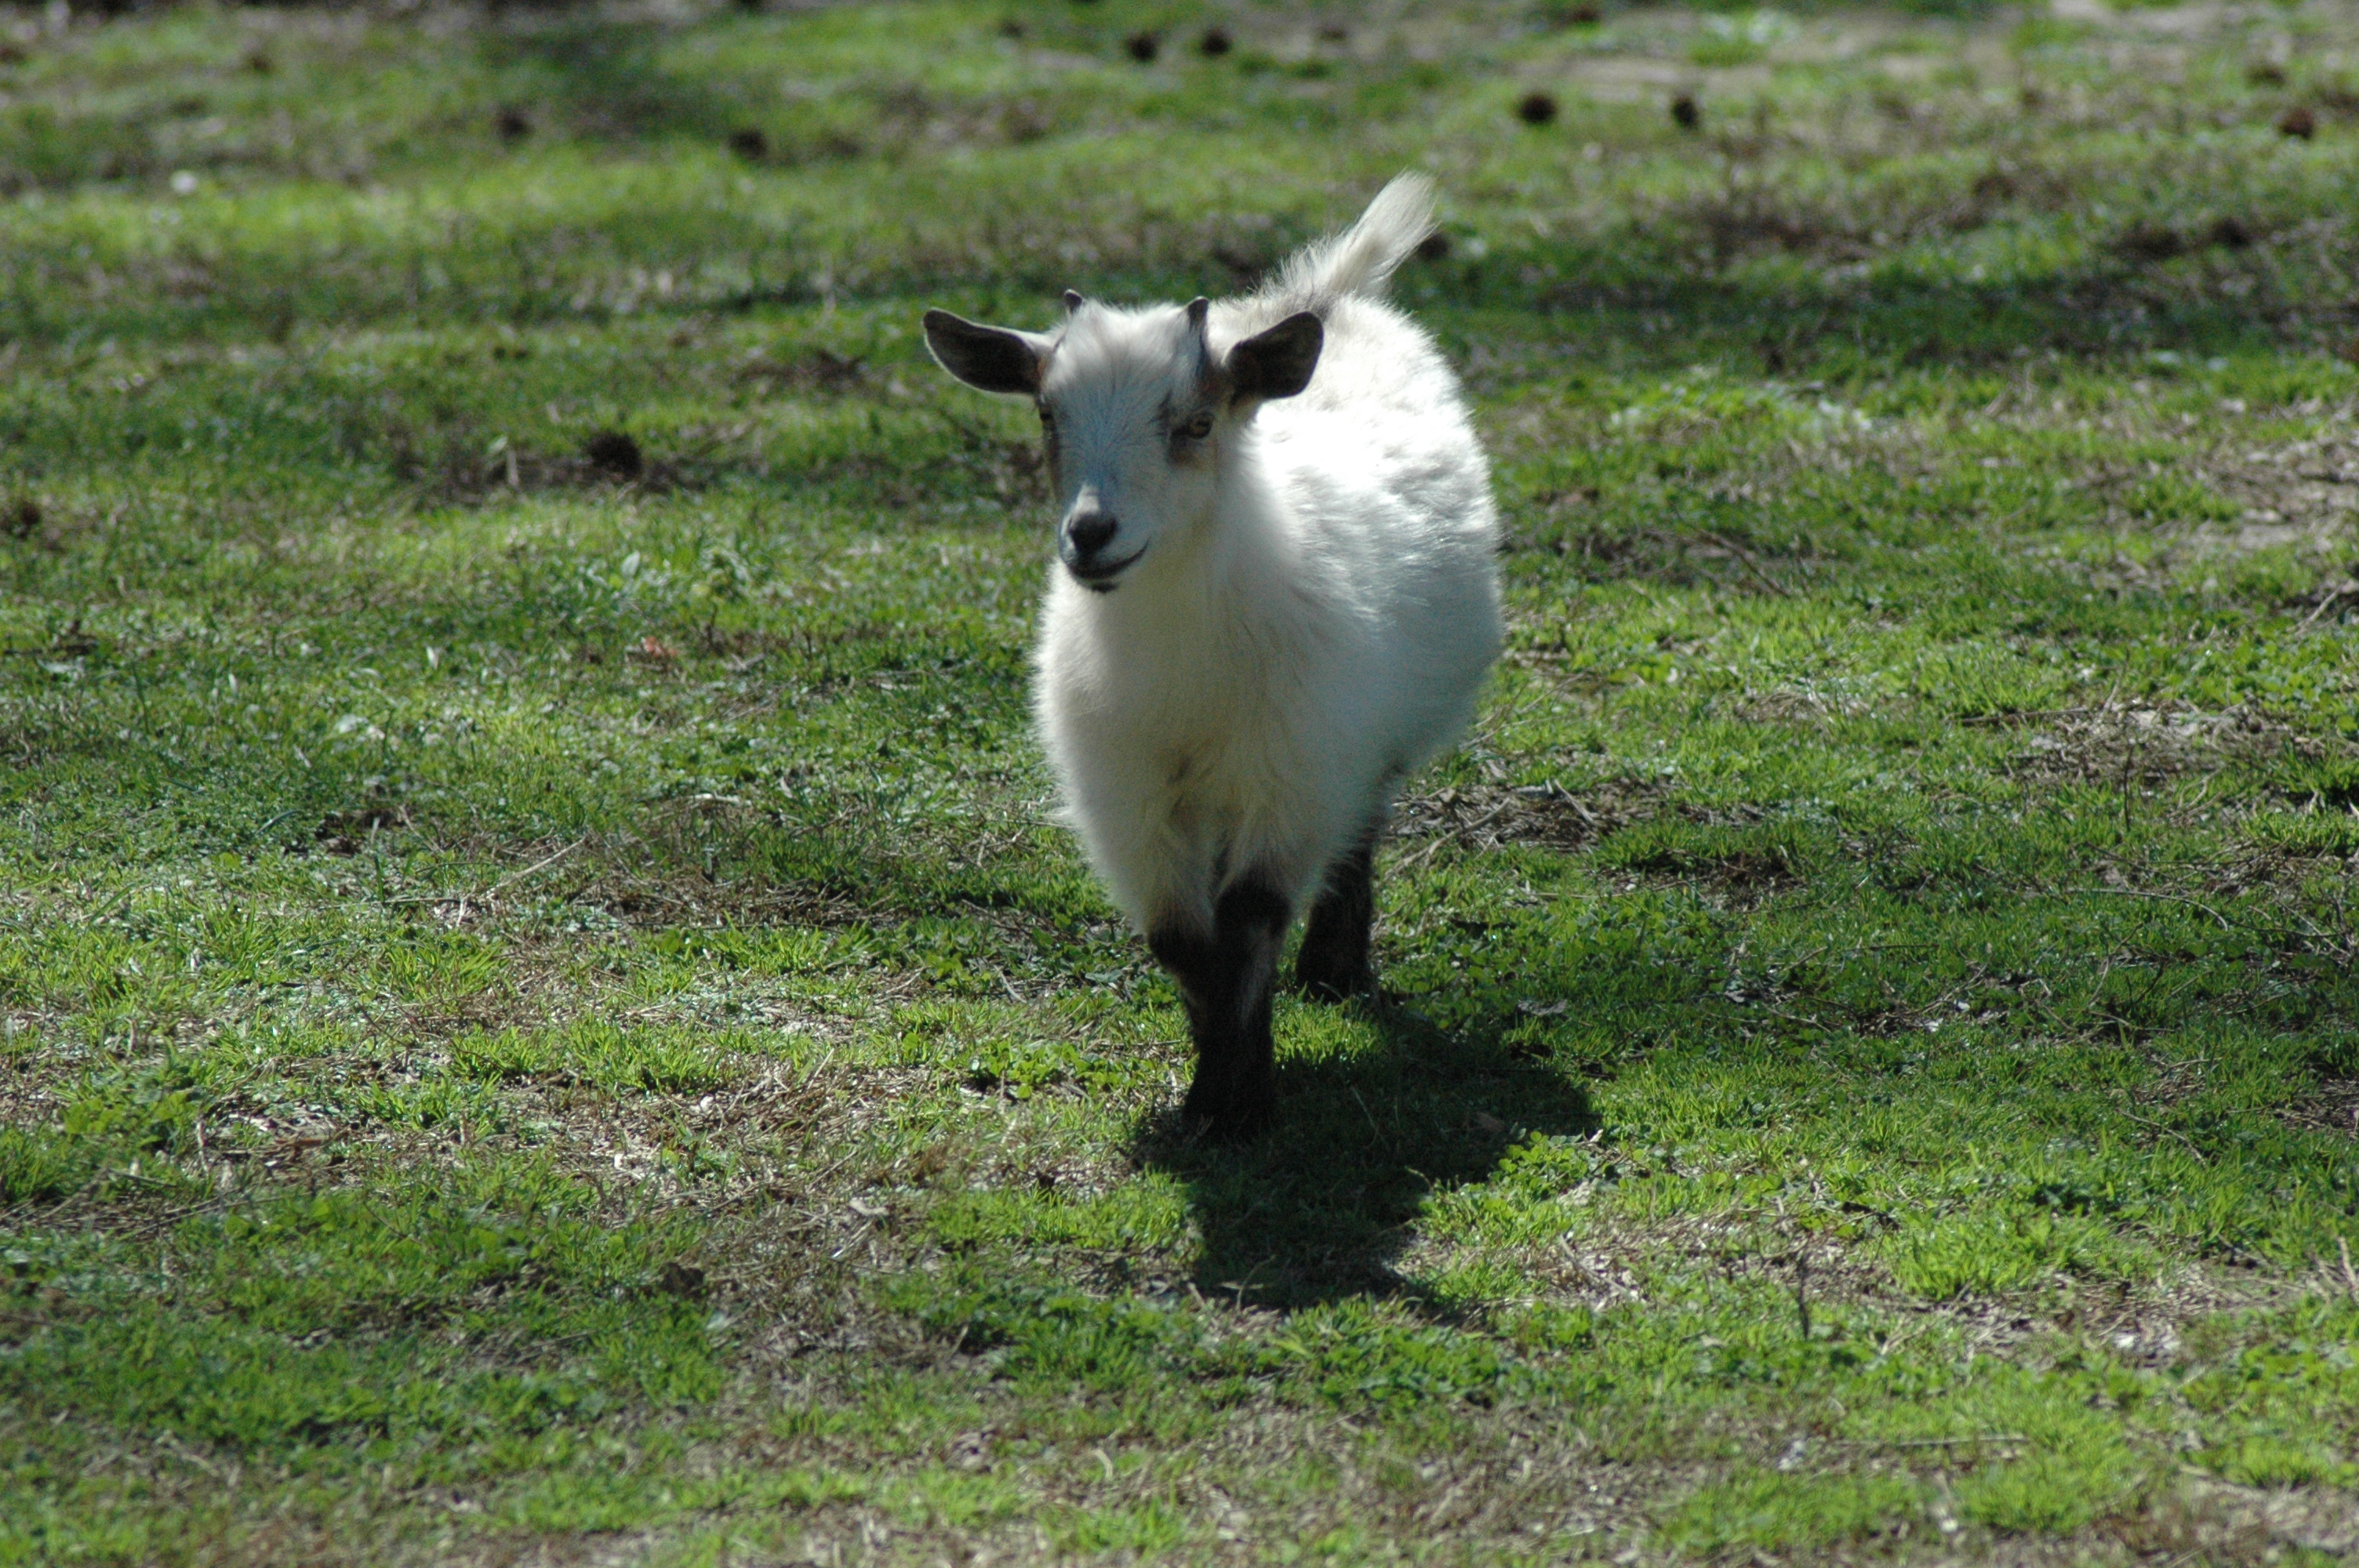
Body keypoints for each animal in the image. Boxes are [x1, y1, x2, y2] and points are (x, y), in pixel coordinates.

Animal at [921, 175, 1501, 1139]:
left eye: (1194, 424)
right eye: (1047, 415)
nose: (1091, 534)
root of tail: (1322, 297)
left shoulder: (1290, 774)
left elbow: (1251, 916)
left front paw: (1247, 1094)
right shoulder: (1128, 798)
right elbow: (1184, 941)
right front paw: (1206, 1096)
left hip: (1361, 741)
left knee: (1360, 825)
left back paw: (1334, 966)